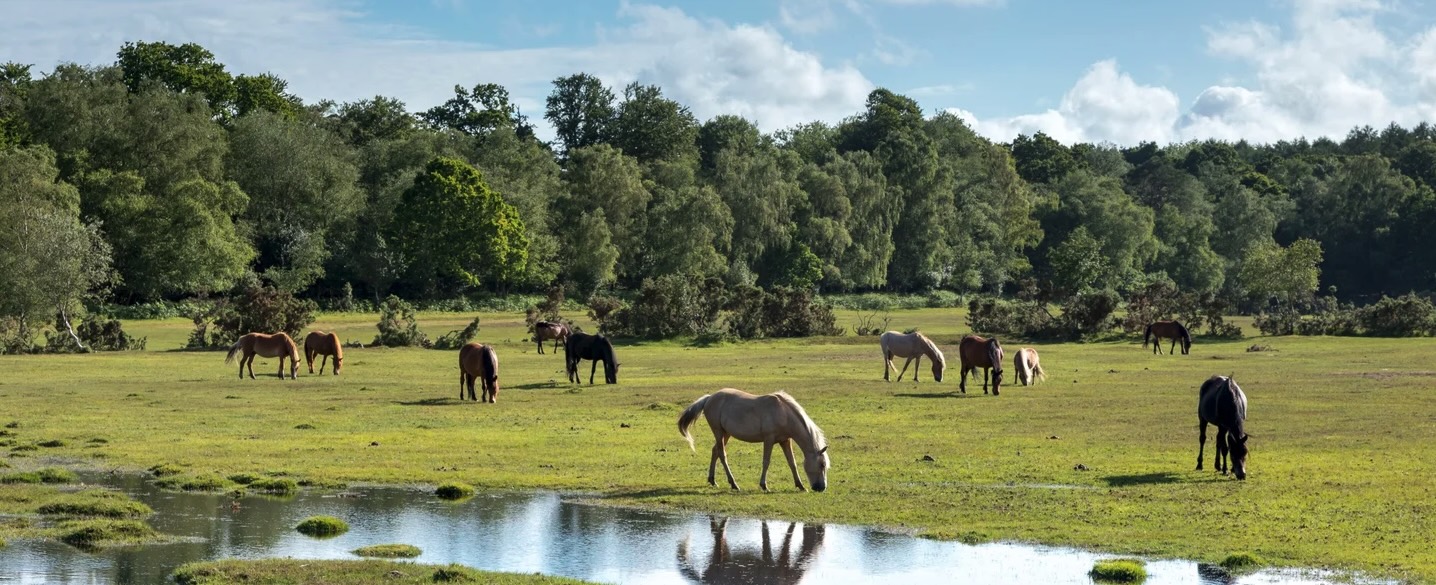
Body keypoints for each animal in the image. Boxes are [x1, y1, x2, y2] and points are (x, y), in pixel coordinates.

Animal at [677, 517, 824, 585]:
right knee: (718, 537)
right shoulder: (777, 561)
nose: (820, 529)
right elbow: (775, 538)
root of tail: (703, 580)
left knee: (717, 535)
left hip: (723, 555)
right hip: (718, 558)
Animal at [678, 388, 829, 492]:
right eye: (822, 465)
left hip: (726, 434)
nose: (821, 488)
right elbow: (766, 462)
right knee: (722, 454)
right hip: (718, 432)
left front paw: (800, 485)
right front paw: (764, 485)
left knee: (715, 451)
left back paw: (713, 480)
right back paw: (733, 484)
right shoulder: (769, 439)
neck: (783, 413)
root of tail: (709, 398)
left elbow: (792, 463)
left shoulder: (785, 441)